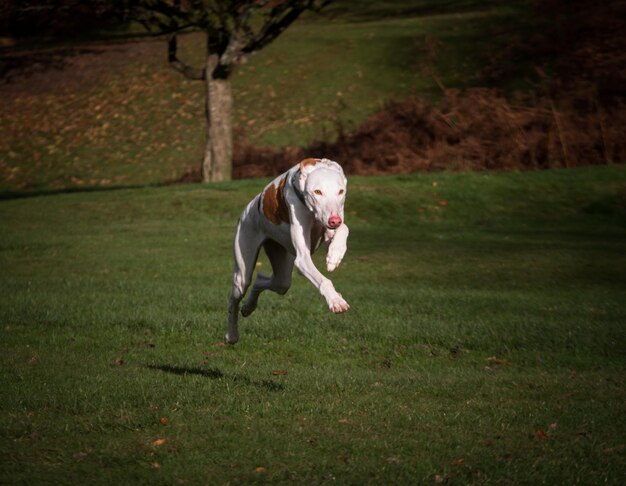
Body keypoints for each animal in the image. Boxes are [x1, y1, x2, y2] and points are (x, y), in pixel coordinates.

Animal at [225, 158, 352, 344]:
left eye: (340, 191)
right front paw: (336, 300)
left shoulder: (330, 225)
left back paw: (248, 307)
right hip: (242, 273)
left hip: (281, 272)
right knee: (235, 298)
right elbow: (323, 280)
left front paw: (335, 254)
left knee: (264, 280)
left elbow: (344, 228)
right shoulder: (302, 258)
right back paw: (231, 334)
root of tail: (248, 208)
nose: (334, 220)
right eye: (317, 192)